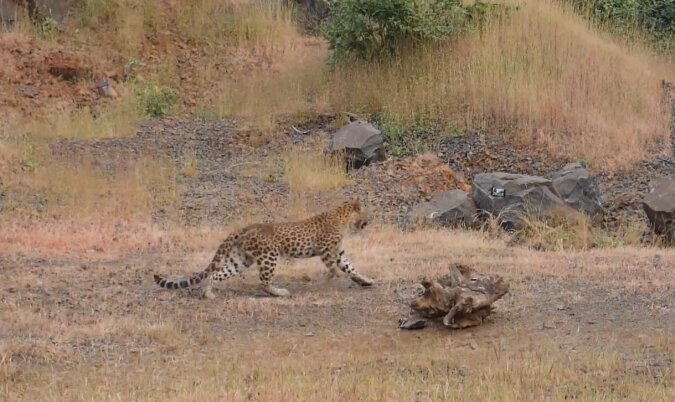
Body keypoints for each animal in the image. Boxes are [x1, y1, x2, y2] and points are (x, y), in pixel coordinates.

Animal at [154, 198, 374, 298]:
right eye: (367, 212)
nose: (370, 220)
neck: (343, 218)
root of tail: (245, 227)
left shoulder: (338, 252)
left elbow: (350, 267)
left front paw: (365, 280)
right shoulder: (327, 251)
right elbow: (333, 270)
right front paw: (325, 282)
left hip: (241, 259)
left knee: (217, 273)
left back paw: (208, 293)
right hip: (269, 255)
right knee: (263, 281)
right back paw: (280, 292)